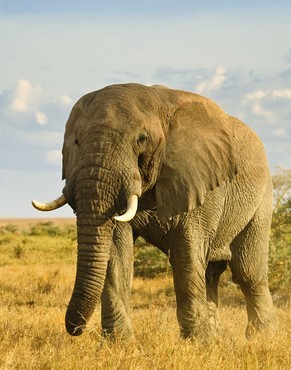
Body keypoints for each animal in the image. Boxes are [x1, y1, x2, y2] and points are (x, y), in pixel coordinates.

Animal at [32, 83, 276, 342]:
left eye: (141, 139)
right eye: (76, 141)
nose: (75, 329)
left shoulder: (201, 178)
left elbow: (186, 251)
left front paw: (196, 343)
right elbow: (117, 252)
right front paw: (119, 344)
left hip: (262, 197)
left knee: (248, 272)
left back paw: (260, 337)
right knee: (212, 272)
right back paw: (217, 336)